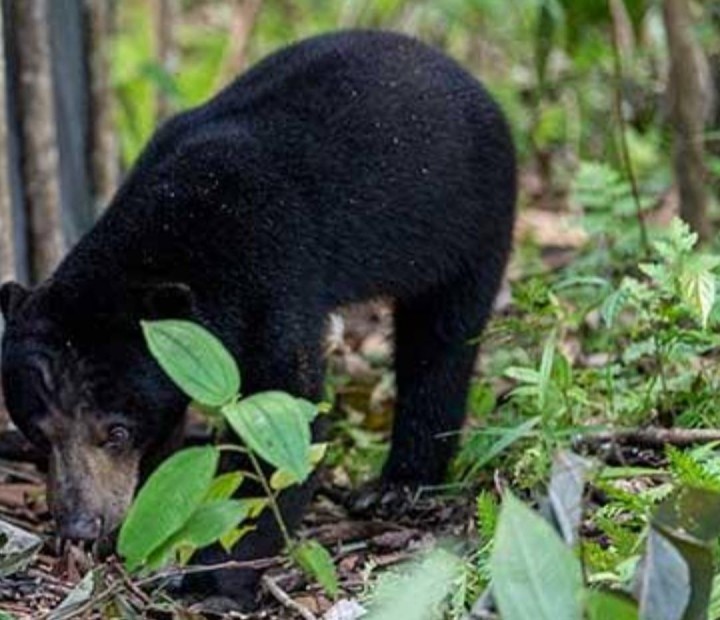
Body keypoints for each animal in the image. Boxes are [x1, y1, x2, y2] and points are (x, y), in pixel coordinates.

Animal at [1, 30, 516, 604]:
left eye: (114, 432)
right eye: (38, 432)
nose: (78, 524)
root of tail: (462, 75)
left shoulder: (272, 272)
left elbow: (285, 419)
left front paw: (213, 581)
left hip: (470, 220)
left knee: (441, 343)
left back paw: (396, 486)